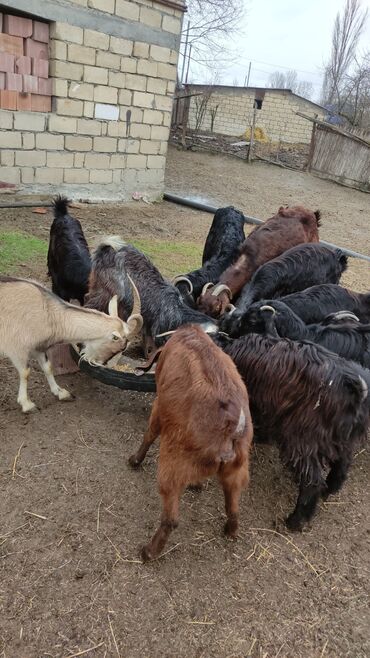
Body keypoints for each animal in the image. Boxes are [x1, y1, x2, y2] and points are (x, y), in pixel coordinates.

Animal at [0, 272, 142, 410]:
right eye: (120, 346)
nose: (103, 363)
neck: (48, 312)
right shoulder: (17, 349)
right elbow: (25, 372)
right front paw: (27, 404)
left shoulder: (39, 347)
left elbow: (48, 367)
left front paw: (61, 393)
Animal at [129, 322, 253, 560]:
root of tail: (229, 432)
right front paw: (197, 484)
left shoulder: (159, 407)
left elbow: (150, 434)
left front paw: (134, 460)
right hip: (237, 471)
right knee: (233, 509)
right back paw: (230, 531)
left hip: (171, 467)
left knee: (171, 519)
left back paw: (149, 552)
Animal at [212, 330, 368, 532]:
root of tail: (354, 390)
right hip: (339, 437)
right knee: (343, 462)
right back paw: (330, 488)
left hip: (302, 437)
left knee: (312, 481)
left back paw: (295, 521)